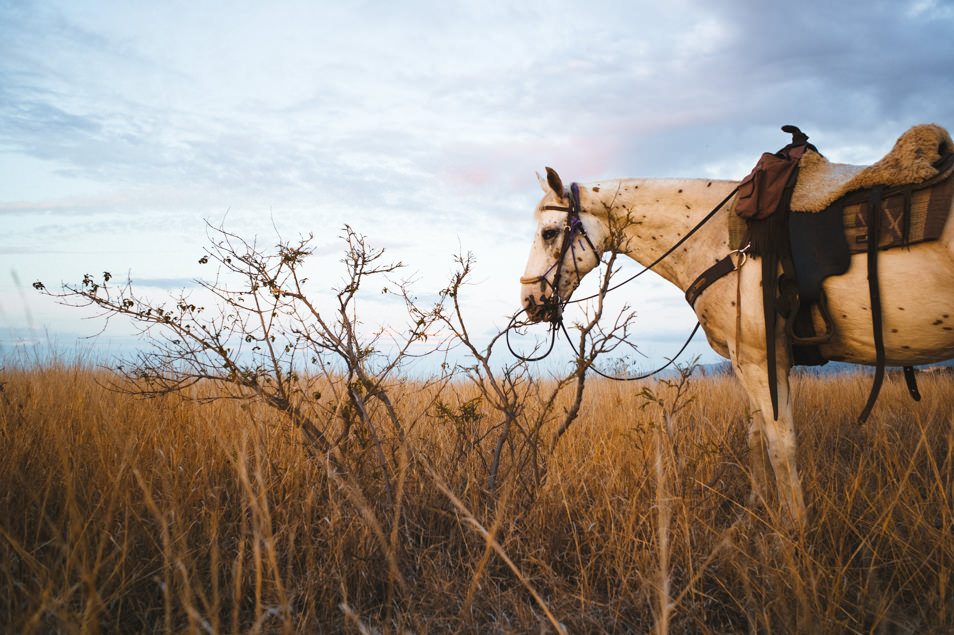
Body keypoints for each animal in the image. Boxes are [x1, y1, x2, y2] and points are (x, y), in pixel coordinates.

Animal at [516, 165, 952, 528]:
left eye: (550, 232)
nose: (531, 301)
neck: (720, 241)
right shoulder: (749, 363)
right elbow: (756, 436)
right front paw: (759, 512)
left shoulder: (760, 360)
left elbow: (781, 445)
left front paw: (794, 533)